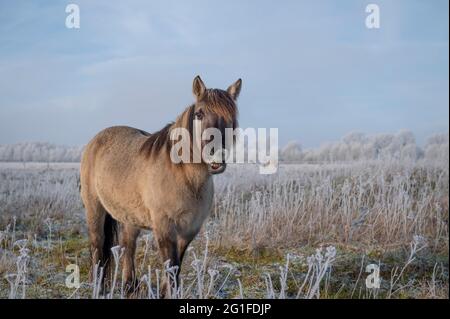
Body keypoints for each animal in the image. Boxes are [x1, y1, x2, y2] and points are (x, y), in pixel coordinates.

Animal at [79, 75, 241, 298]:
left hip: (131, 216)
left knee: (128, 244)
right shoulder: (164, 227)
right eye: (199, 114)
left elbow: (176, 266)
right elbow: (170, 265)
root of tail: (96, 140)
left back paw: (130, 286)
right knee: (97, 246)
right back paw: (99, 287)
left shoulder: (188, 230)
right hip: (94, 208)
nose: (216, 157)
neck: (185, 178)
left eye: (231, 117)